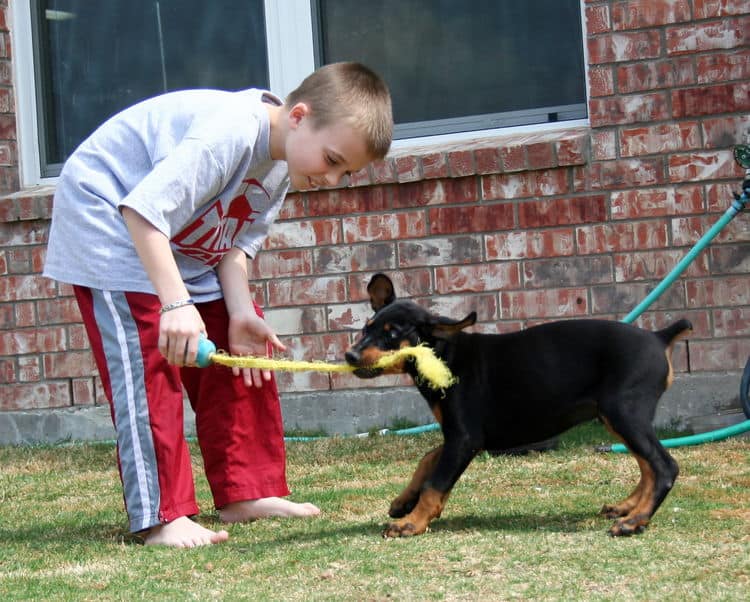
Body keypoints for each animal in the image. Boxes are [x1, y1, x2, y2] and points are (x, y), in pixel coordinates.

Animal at [346, 274, 692, 536]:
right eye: (366, 327)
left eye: (392, 334)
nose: (349, 355)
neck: (444, 355)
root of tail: (659, 337)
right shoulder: (457, 435)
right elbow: (427, 458)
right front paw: (403, 502)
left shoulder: (465, 438)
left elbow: (436, 483)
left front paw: (412, 523)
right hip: (616, 416)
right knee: (647, 465)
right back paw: (627, 508)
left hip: (624, 412)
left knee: (664, 466)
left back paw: (635, 521)